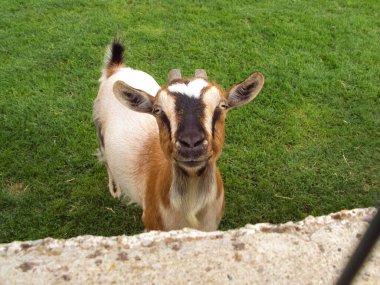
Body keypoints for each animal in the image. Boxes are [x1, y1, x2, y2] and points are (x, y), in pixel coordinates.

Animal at [94, 41, 264, 230]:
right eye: (157, 110)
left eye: (223, 105)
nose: (191, 143)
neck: (191, 209)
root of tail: (117, 69)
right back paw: (115, 190)